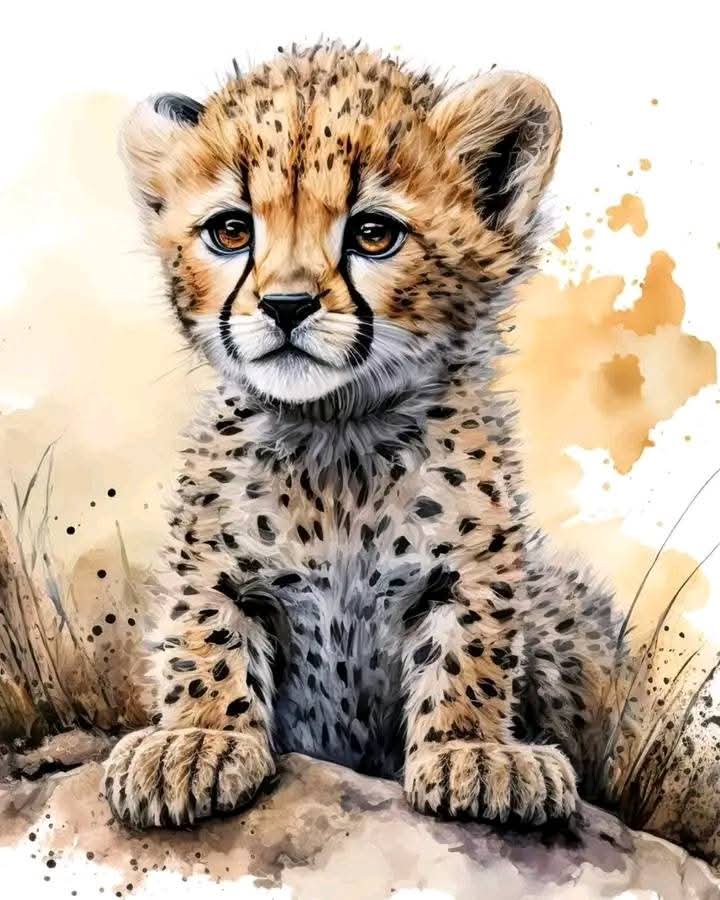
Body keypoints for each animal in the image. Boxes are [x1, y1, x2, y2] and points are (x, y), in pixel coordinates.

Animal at [104, 41, 627, 830]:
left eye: (374, 234)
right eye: (231, 230)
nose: (286, 305)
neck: (336, 437)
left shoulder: (468, 570)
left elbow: (471, 647)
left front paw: (476, 752)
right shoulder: (216, 566)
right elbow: (205, 634)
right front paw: (196, 740)